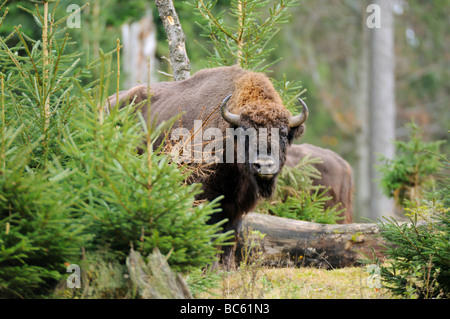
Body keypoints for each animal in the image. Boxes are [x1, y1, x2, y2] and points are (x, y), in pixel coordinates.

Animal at [107, 66, 308, 268]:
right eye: (246, 132)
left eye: (283, 133)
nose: (264, 165)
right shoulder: (206, 196)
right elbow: (211, 233)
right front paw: (209, 267)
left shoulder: (237, 206)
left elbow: (230, 237)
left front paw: (226, 268)